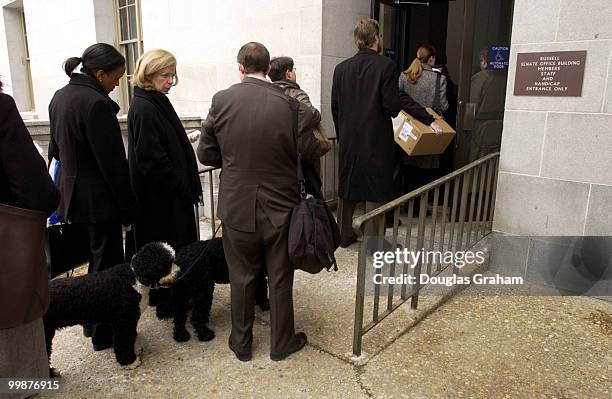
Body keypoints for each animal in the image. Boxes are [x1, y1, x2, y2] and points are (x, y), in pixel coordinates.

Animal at [42, 242, 177, 376]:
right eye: (168, 264)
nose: (179, 272)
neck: (133, 278)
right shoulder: (123, 322)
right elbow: (123, 342)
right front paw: (129, 362)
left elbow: (132, 336)